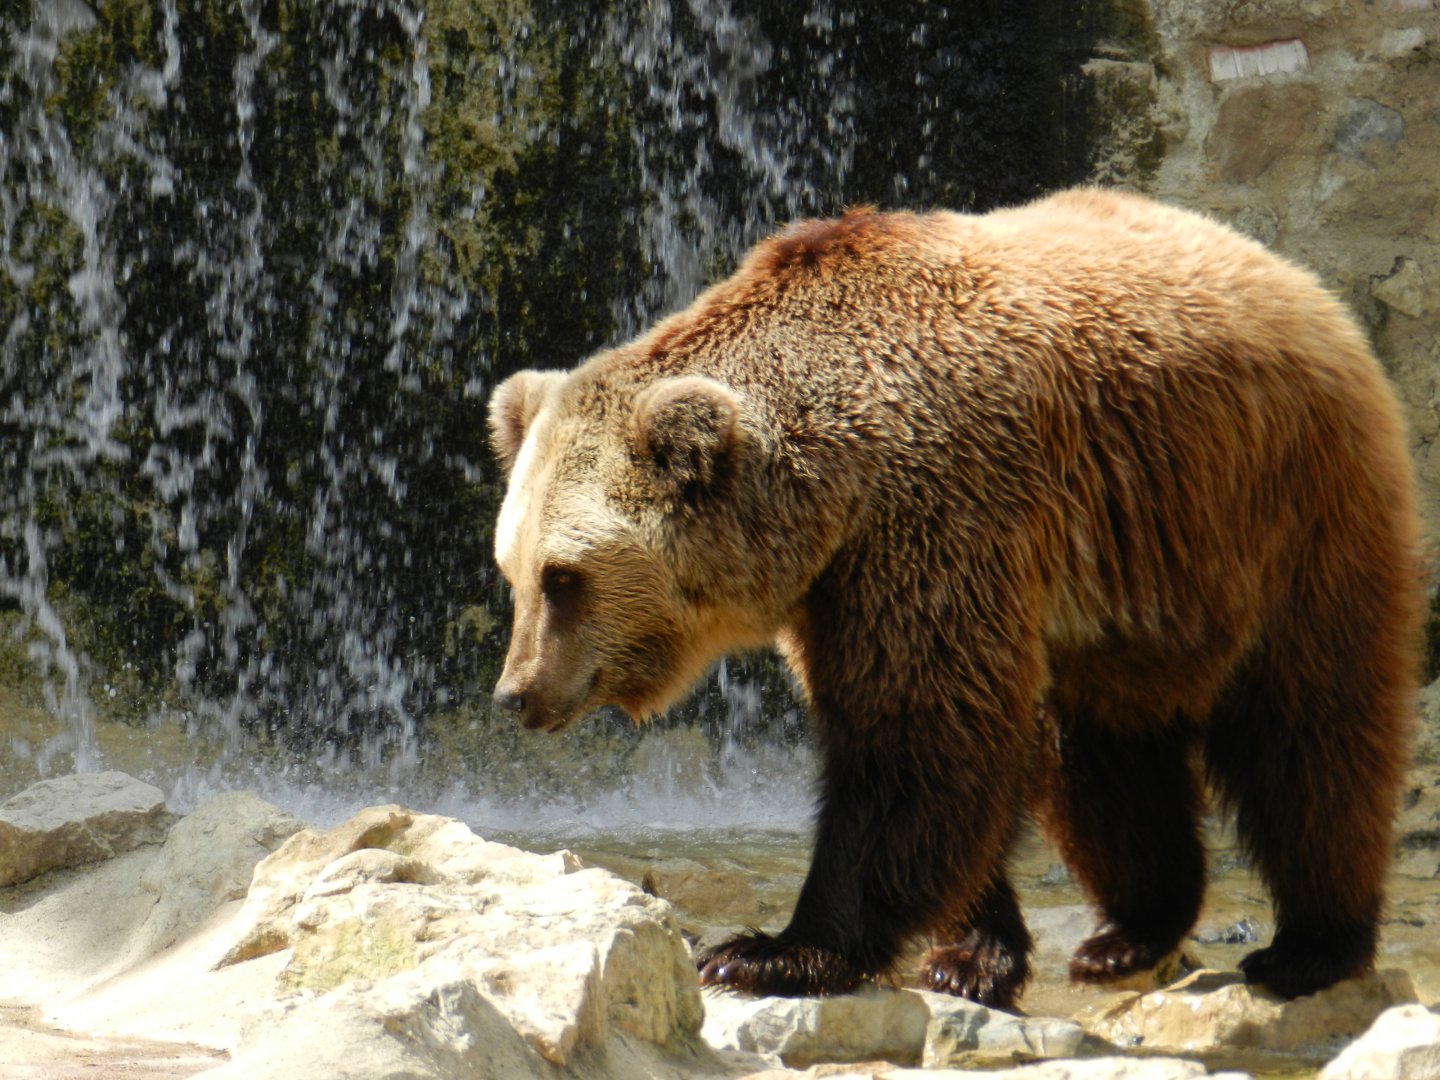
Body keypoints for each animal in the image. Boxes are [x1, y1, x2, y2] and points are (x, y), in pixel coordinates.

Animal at [487, 188, 1419, 1009]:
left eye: (564, 577)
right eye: (513, 569)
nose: (517, 693)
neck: (829, 484)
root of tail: (1294, 278)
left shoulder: (932, 517)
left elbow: (920, 735)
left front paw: (766, 951)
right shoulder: (841, 582)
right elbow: (949, 745)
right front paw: (971, 955)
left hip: (1280, 511)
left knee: (1310, 732)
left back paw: (1310, 946)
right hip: (1128, 593)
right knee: (1103, 755)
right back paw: (1128, 930)